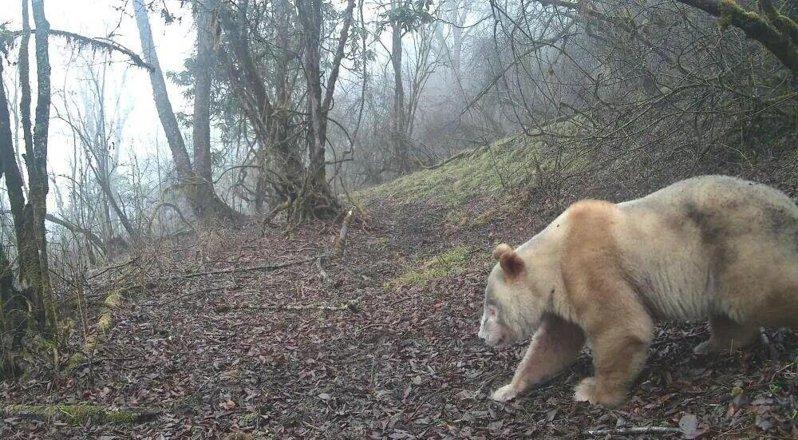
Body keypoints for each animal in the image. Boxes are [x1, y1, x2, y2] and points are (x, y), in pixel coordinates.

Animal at [477, 175, 798, 407]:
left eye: (491, 309)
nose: (482, 337)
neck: (556, 252)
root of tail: (787, 206)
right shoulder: (562, 293)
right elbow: (554, 344)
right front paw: (506, 389)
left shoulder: (591, 266)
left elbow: (621, 326)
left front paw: (591, 391)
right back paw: (713, 345)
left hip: (739, 244)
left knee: (764, 293)